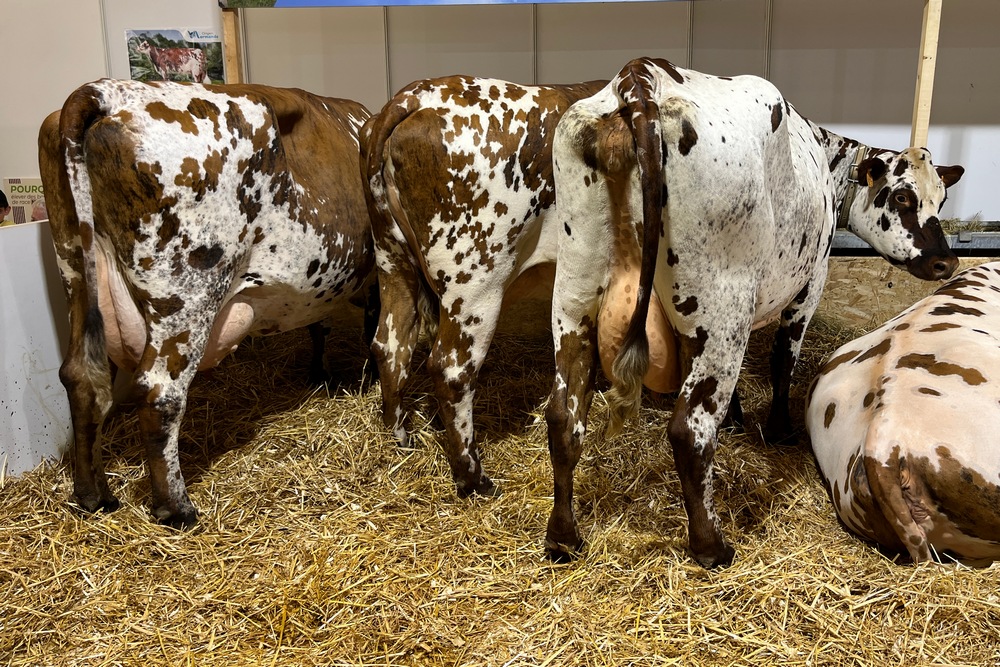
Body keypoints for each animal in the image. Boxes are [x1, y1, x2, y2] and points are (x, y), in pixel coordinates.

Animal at [38, 79, 375, 528]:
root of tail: (107, 91)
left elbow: (318, 324)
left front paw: (320, 373)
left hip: (76, 271)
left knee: (83, 378)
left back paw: (94, 495)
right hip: (189, 293)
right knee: (160, 393)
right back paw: (176, 508)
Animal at [361, 75, 606, 497]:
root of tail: (415, 94)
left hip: (392, 258)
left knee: (390, 345)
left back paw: (400, 438)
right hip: (475, 285)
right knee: (451, 370)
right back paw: (473, 477)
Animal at [544, 57, 964, 568]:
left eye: (941, 198)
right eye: (902, 197)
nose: (946, 262)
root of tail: (641, 80)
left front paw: (738, 417)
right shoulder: (810, 282)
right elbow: (783, 360)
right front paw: (779, 429)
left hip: (576, 297)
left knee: (563, 416)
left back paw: (563, 538)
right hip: (721, 302)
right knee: (689, 430)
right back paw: (712, 547)